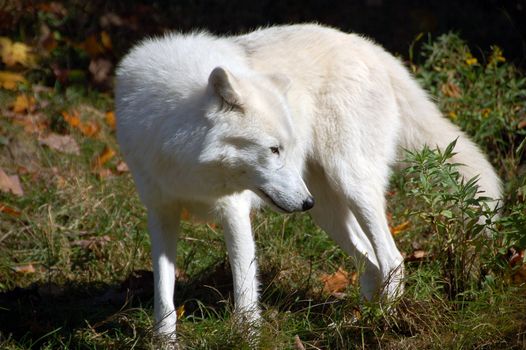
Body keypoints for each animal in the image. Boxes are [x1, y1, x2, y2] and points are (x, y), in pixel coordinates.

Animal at [115, 23, 504, 340]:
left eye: (284, 148)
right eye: (273, 149)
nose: (304, 203)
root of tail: (370, 48)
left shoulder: (234, 211)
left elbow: (245, 292)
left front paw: (247, 339)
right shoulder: (160, 214)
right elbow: (163, 294)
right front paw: (165, 341)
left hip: (351, 186)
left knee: (392, 260)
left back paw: (384, 324)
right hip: (326, 211)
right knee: (370, 262)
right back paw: (357, 321)